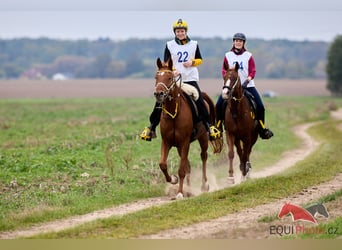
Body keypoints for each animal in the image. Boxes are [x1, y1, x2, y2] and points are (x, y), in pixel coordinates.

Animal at [154, 57, 215, 199]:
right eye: (156, 77)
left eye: (169, 77)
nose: (158, 93)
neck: (173, 114)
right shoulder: (167, 142)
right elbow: (163, 164)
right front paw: (173, 180)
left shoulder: (184, 142)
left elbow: (181, 170)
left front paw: (180, 193)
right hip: (179, 147)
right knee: (188, 165)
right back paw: (189, 188)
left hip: (203, 138)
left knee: (203, 156)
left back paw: (204, 185)